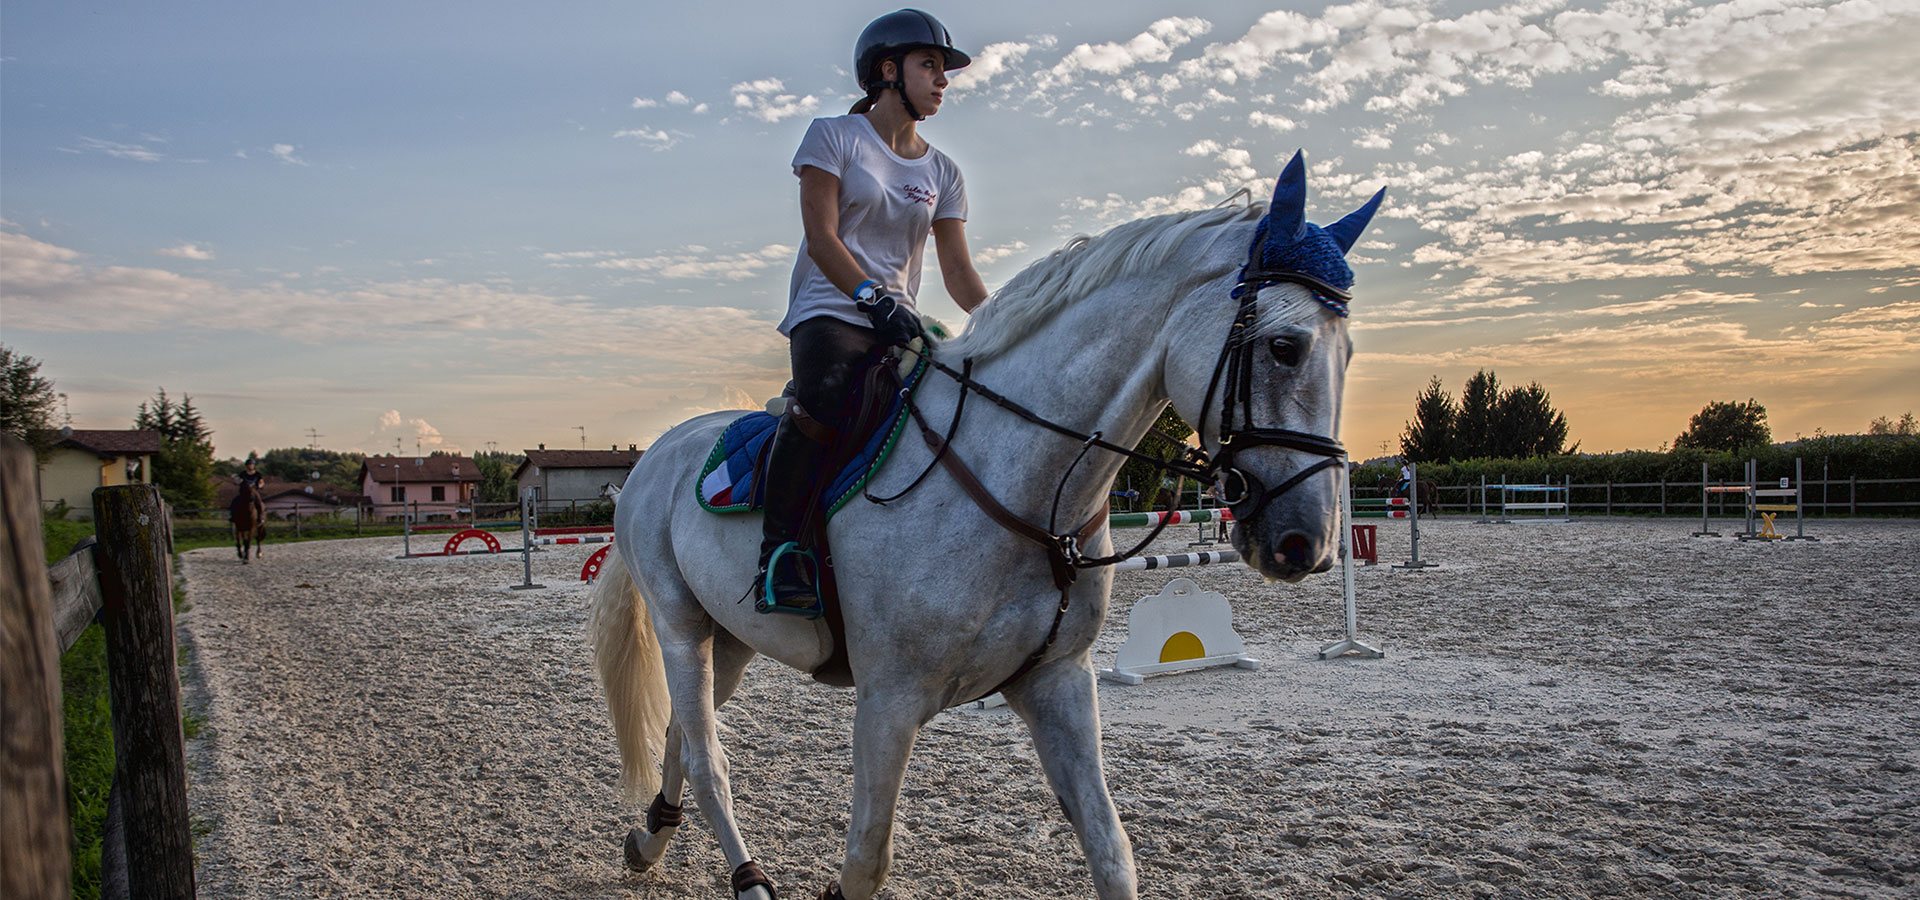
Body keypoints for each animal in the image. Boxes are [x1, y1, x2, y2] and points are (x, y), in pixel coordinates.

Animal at [587, 154, 1382, 898]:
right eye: (1285, 347)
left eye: (1350, 354)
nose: (1306, 543)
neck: (1019, 486)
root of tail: (657, 453)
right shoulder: (889, 700)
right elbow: (866, 860)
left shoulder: (1059, 683)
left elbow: (1111, 853)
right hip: (681, 626)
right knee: (708, 758)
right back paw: (745, 875)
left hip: (732, 640)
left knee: (682, 735)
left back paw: (650, 840)